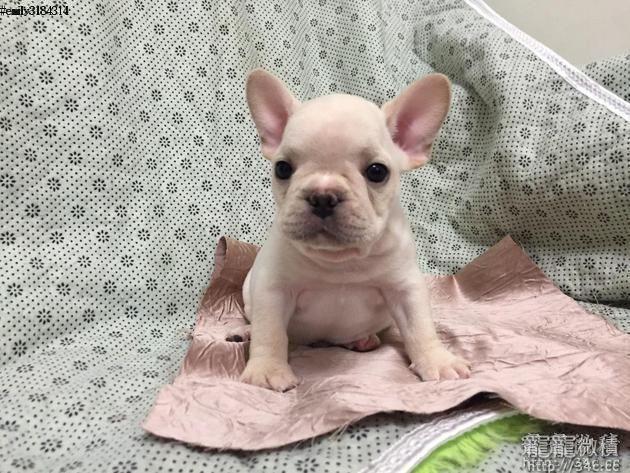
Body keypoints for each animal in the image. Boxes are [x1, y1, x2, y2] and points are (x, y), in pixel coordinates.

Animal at [238, 68, 471, 391]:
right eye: (282, 168)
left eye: (377, 172)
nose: (323, 196)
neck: (340, 261)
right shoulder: (273, 290)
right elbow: (270, 332)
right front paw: (267, 370)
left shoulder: (405, 289)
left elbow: (420, 327)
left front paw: (437, 361)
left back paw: (362, 340)